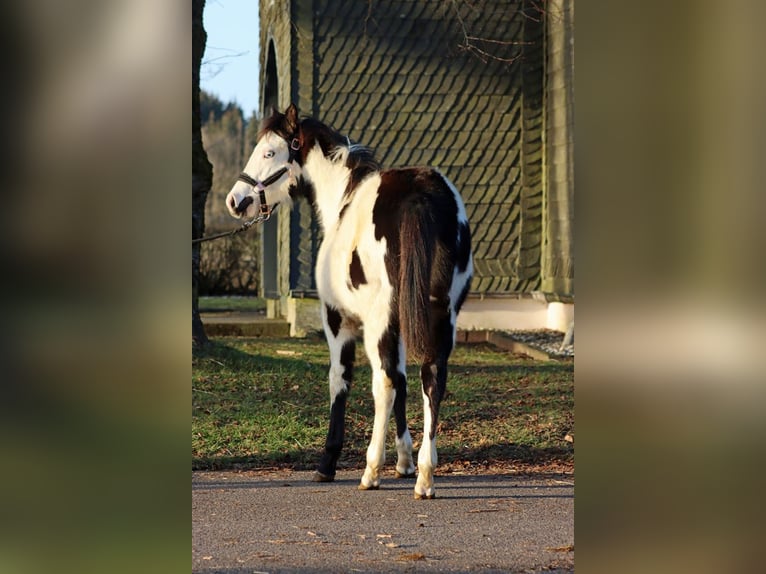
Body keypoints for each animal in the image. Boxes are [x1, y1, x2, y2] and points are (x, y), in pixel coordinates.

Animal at [225, 104, 472, 500]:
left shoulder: (337, 322)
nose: (236, 201)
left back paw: (371, 471)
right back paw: (424, 476)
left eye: (268, 152)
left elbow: (340, 381)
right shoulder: (402, 325)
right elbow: (404, 381)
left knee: (383, 383)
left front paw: (328, 463)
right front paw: (404, 461)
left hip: (379, 322)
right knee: (431, 379)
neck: (344, 202)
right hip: (441, 316)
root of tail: (419, 194)